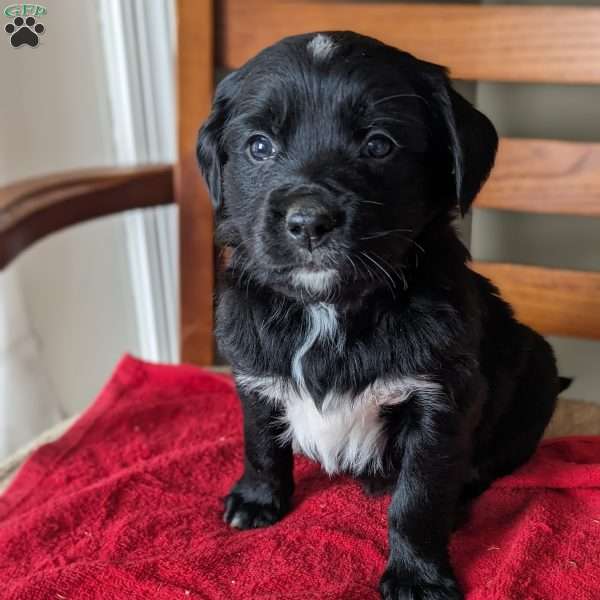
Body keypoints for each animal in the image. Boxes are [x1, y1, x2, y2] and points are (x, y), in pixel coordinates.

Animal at [197, 32, 564, 600]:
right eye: (259, 146)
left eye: (378, 145)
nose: (309, 221)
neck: (329, 309)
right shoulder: (253, 374)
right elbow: (259, 440)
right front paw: (257, 499)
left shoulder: (441, 401)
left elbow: (418, 497)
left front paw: (417, 575)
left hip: (538, 368)